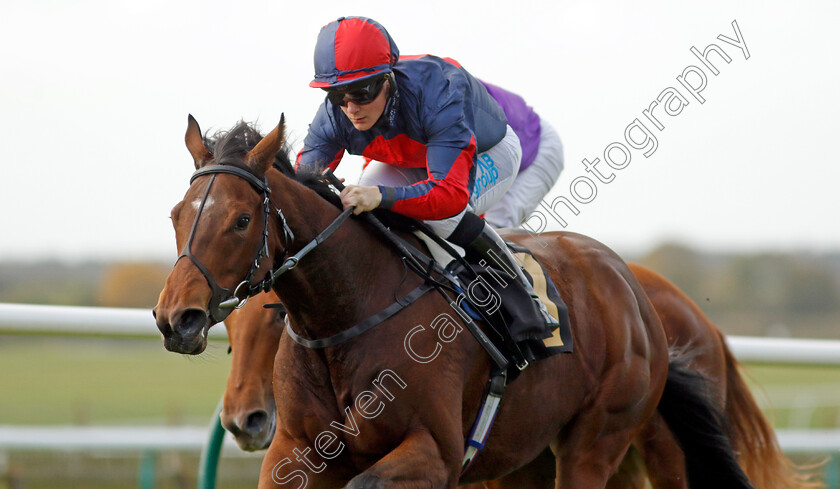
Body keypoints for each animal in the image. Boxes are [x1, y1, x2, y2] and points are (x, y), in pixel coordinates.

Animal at [154, 118, 752, 488]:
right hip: (525, 457)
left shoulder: (438, 454)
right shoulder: (294, 451)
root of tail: (636, 295)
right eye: (177, 214)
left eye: (241, 220)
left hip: (599, 441)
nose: (175, 319)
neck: (349, 315)